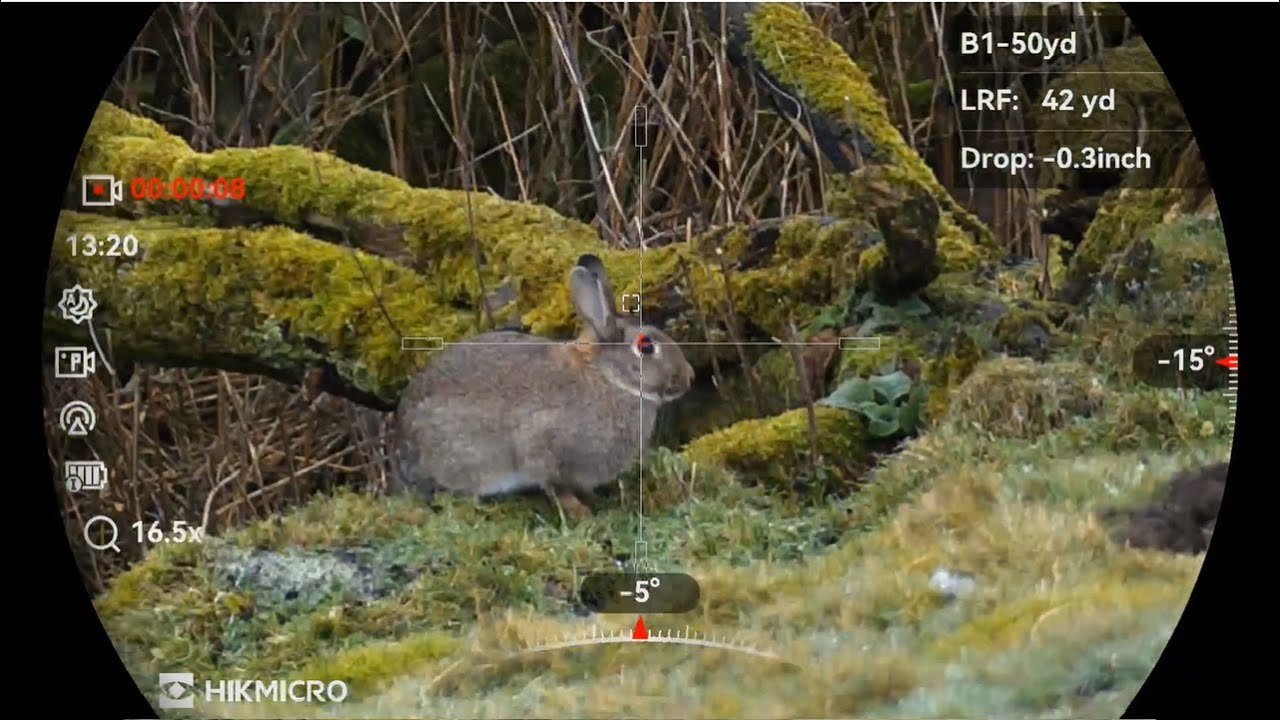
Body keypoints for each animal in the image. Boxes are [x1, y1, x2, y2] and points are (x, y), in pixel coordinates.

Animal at [391, 254, 695, 518]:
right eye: (646, 346)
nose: (689, 377)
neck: (608, 378)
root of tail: (404, 446)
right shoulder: (542, 447)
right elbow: (554, 485)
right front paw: (580, 512)